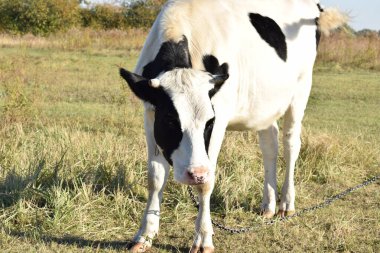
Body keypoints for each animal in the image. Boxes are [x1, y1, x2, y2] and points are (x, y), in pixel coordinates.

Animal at [119, 0, 348, 252]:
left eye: (209, 121)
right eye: (170, 119)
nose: (195, 173)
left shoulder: (220, 115)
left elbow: (207, 184)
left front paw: (203, 238)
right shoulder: (150, 115)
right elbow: (155, 177)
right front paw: (145, 235)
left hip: (300, 91)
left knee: (290, 144)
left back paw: (286, 203)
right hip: (264, 103)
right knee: (270, 144)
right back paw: (268, 205)